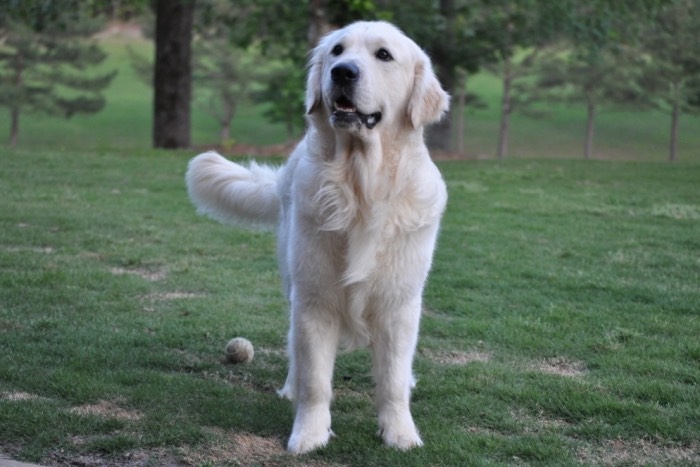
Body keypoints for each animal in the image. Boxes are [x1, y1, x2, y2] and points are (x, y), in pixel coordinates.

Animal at [186, 21, 448, 454]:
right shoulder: (315, 299)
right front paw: (309, 434)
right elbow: (315, 381)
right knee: (296, 349)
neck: (360, 188)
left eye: (384, 55)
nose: (342, 72)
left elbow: (392, 381)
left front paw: (400, 434)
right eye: (337, 50)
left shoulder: (399, 302)